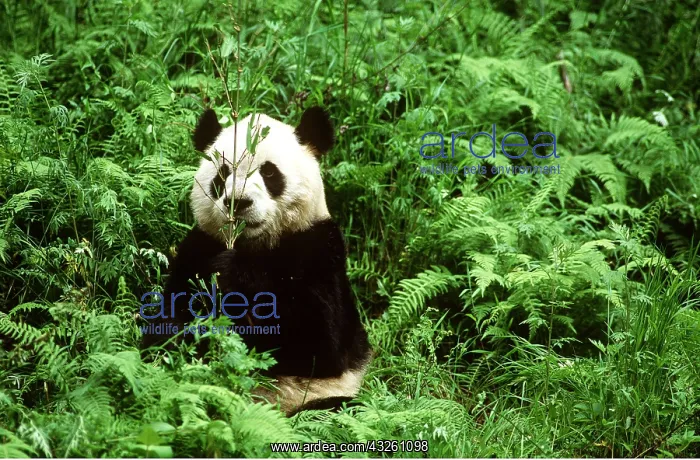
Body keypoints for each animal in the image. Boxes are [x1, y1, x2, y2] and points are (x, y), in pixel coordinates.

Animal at [142, 106, 371, 416]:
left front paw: (233, 274)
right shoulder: (197, 249)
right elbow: (166, 324)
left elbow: (318, 342)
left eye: (269, 172)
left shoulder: (320, 250)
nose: (238, 202)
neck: (254, 244)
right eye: (223, 173)